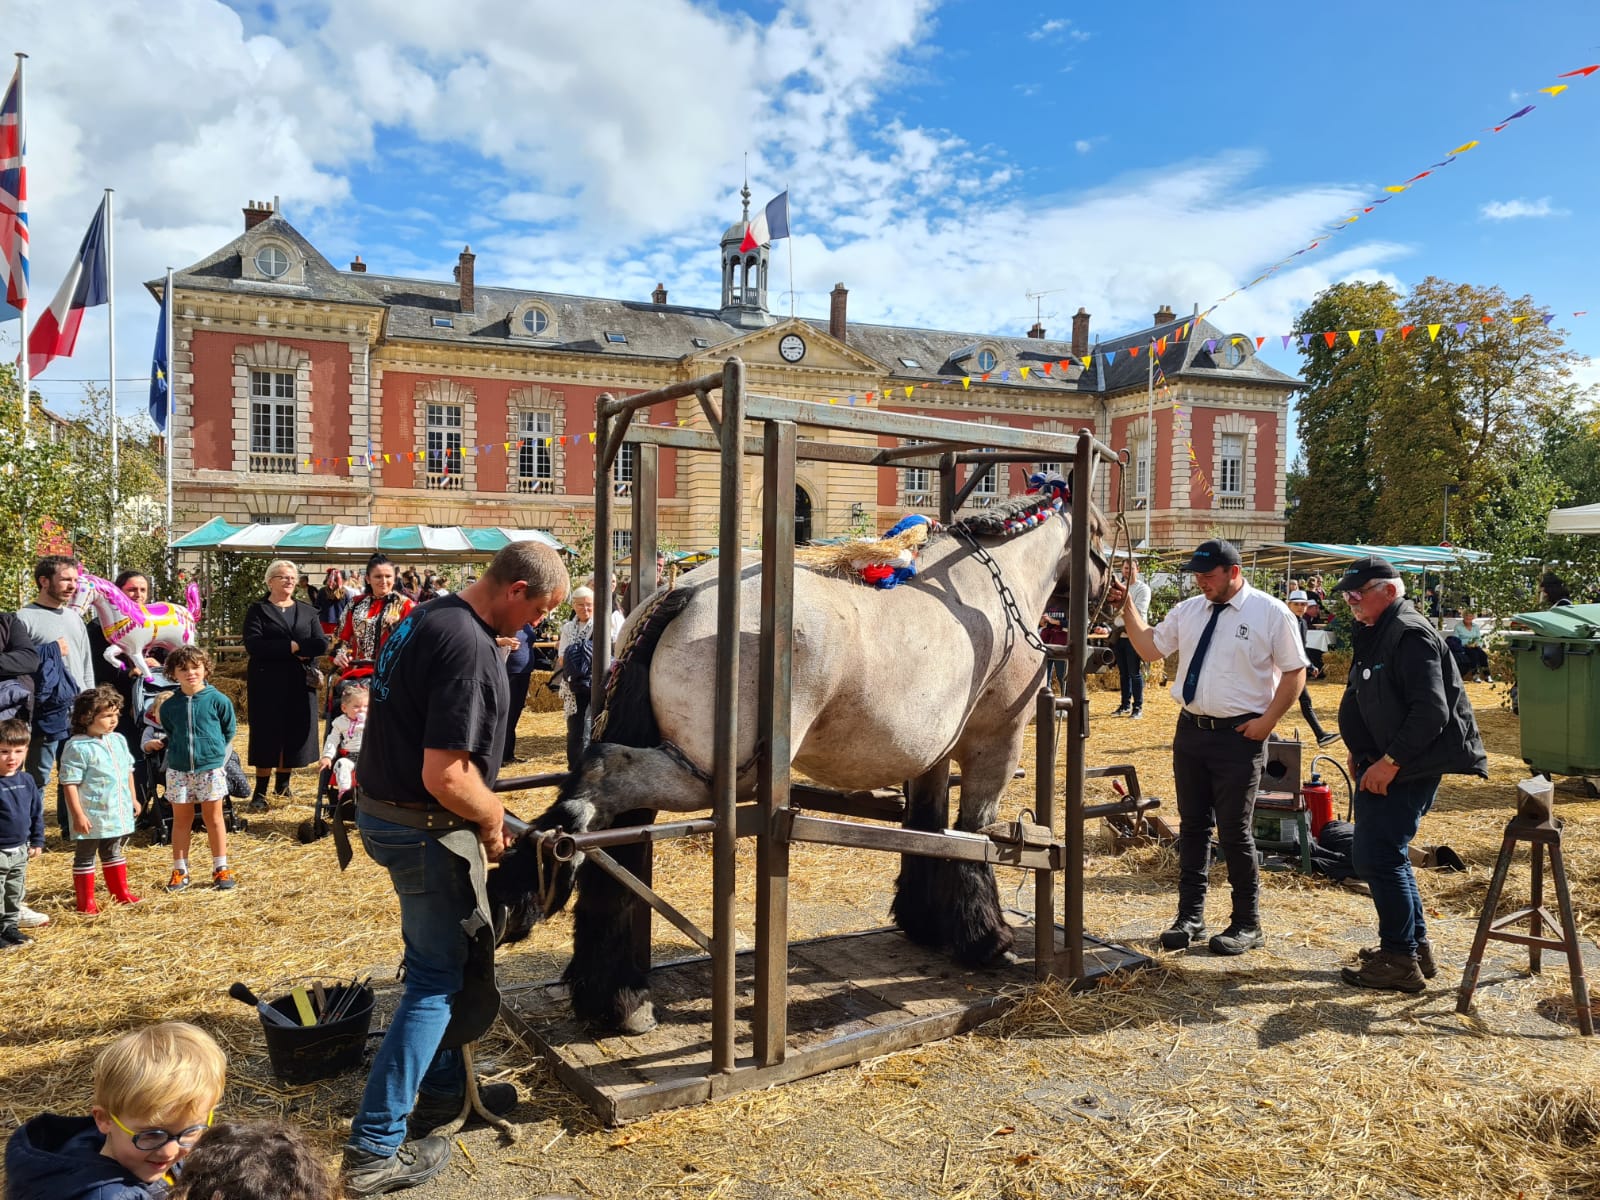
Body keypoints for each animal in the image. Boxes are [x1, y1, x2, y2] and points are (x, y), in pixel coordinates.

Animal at [489, 486, 1113, 1036]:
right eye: (1104, 537)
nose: (1109, 611)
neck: (984, 587)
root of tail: (681, 595)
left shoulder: (931, 751)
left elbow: (929, 831)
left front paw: (922, 920)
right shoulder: (995, 739)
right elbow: (975, 837)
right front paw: (985, 937)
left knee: (617, 830)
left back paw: (612, 993)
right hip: (711, 775)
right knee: (599, 780)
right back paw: (532, 896)